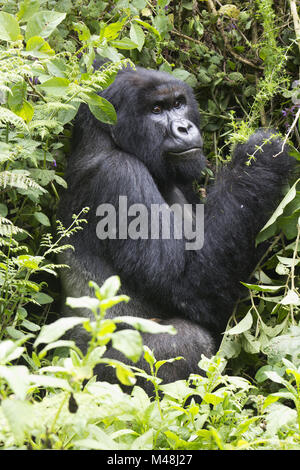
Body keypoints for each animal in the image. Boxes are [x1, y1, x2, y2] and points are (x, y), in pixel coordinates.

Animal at [58, 64, 292, 392]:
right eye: (156, 110)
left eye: (179, 103)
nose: (183, 128)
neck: (104, 138)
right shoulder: (119, 175)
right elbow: (187, 285)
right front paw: (258, 157)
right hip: (83, 373)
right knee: (186, 341)